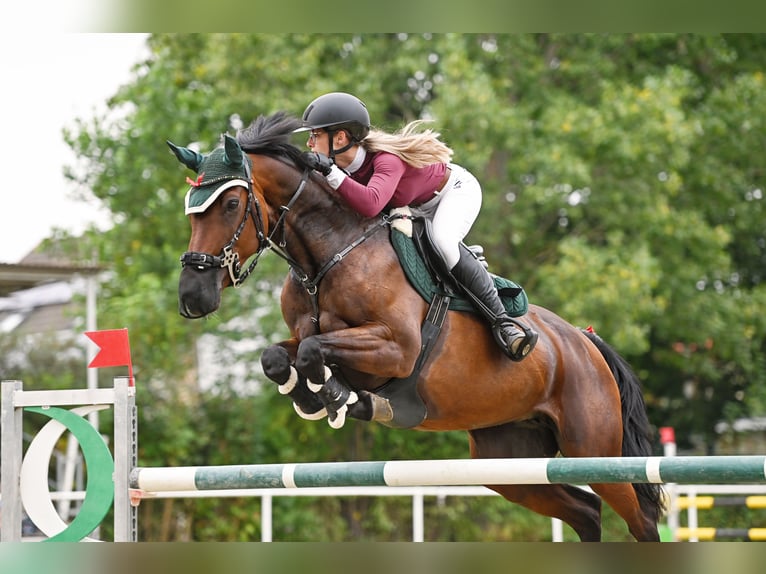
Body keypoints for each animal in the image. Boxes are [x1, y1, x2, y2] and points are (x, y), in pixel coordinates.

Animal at [171, 112, 664, 541]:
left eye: (231, 203)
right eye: (190, 211)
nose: (192, 297)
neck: (329, 255)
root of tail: (585, 342)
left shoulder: (395, 348)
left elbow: (315, 352)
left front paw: (339, 397)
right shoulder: (307, 336)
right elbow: (278, 355)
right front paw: (312, 397)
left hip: (594, 449)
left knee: (638, 519)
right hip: (508, 460)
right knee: (586, 512)